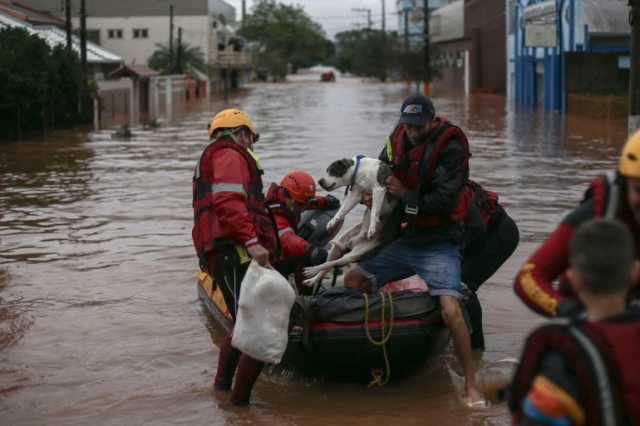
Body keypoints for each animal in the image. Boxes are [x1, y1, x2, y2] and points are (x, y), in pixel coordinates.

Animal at [302, 155, 398, 288]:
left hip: (356, 254)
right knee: (328, 265)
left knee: (332, 263)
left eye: (332, 171)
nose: (320, 181)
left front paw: (372, 228)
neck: (361, 171)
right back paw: (312, 278)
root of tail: (355, 242)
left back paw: (311, 270)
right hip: (339, 245)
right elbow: (343, 209)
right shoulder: (356, 194)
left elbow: (374, 210)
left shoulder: (379, 189)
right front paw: (333, 221)